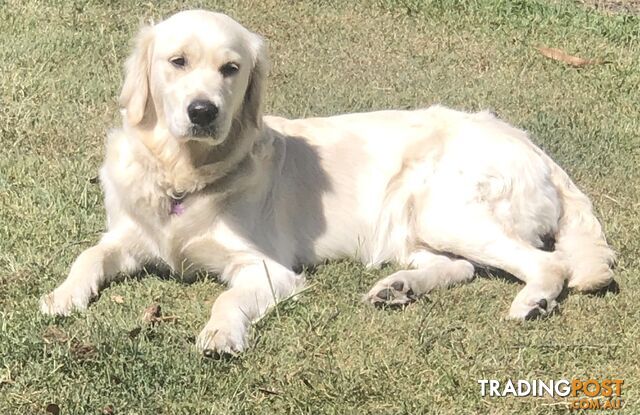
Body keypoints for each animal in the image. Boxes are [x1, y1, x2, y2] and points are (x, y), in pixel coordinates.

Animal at [41, 9, 616, 354]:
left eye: (231, 68)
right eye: (176, 61)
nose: (203, 111)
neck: (183, 174)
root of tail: (531, 144)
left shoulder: (267, 268)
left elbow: (227, 299)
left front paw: (220, 334)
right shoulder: (131, 235)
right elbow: (88, 255)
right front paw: (61, 297)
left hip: (445, 209)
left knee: (549, 263)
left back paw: (532, 302)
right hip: (418, 225)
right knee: (461, 268)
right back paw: (397, 289)